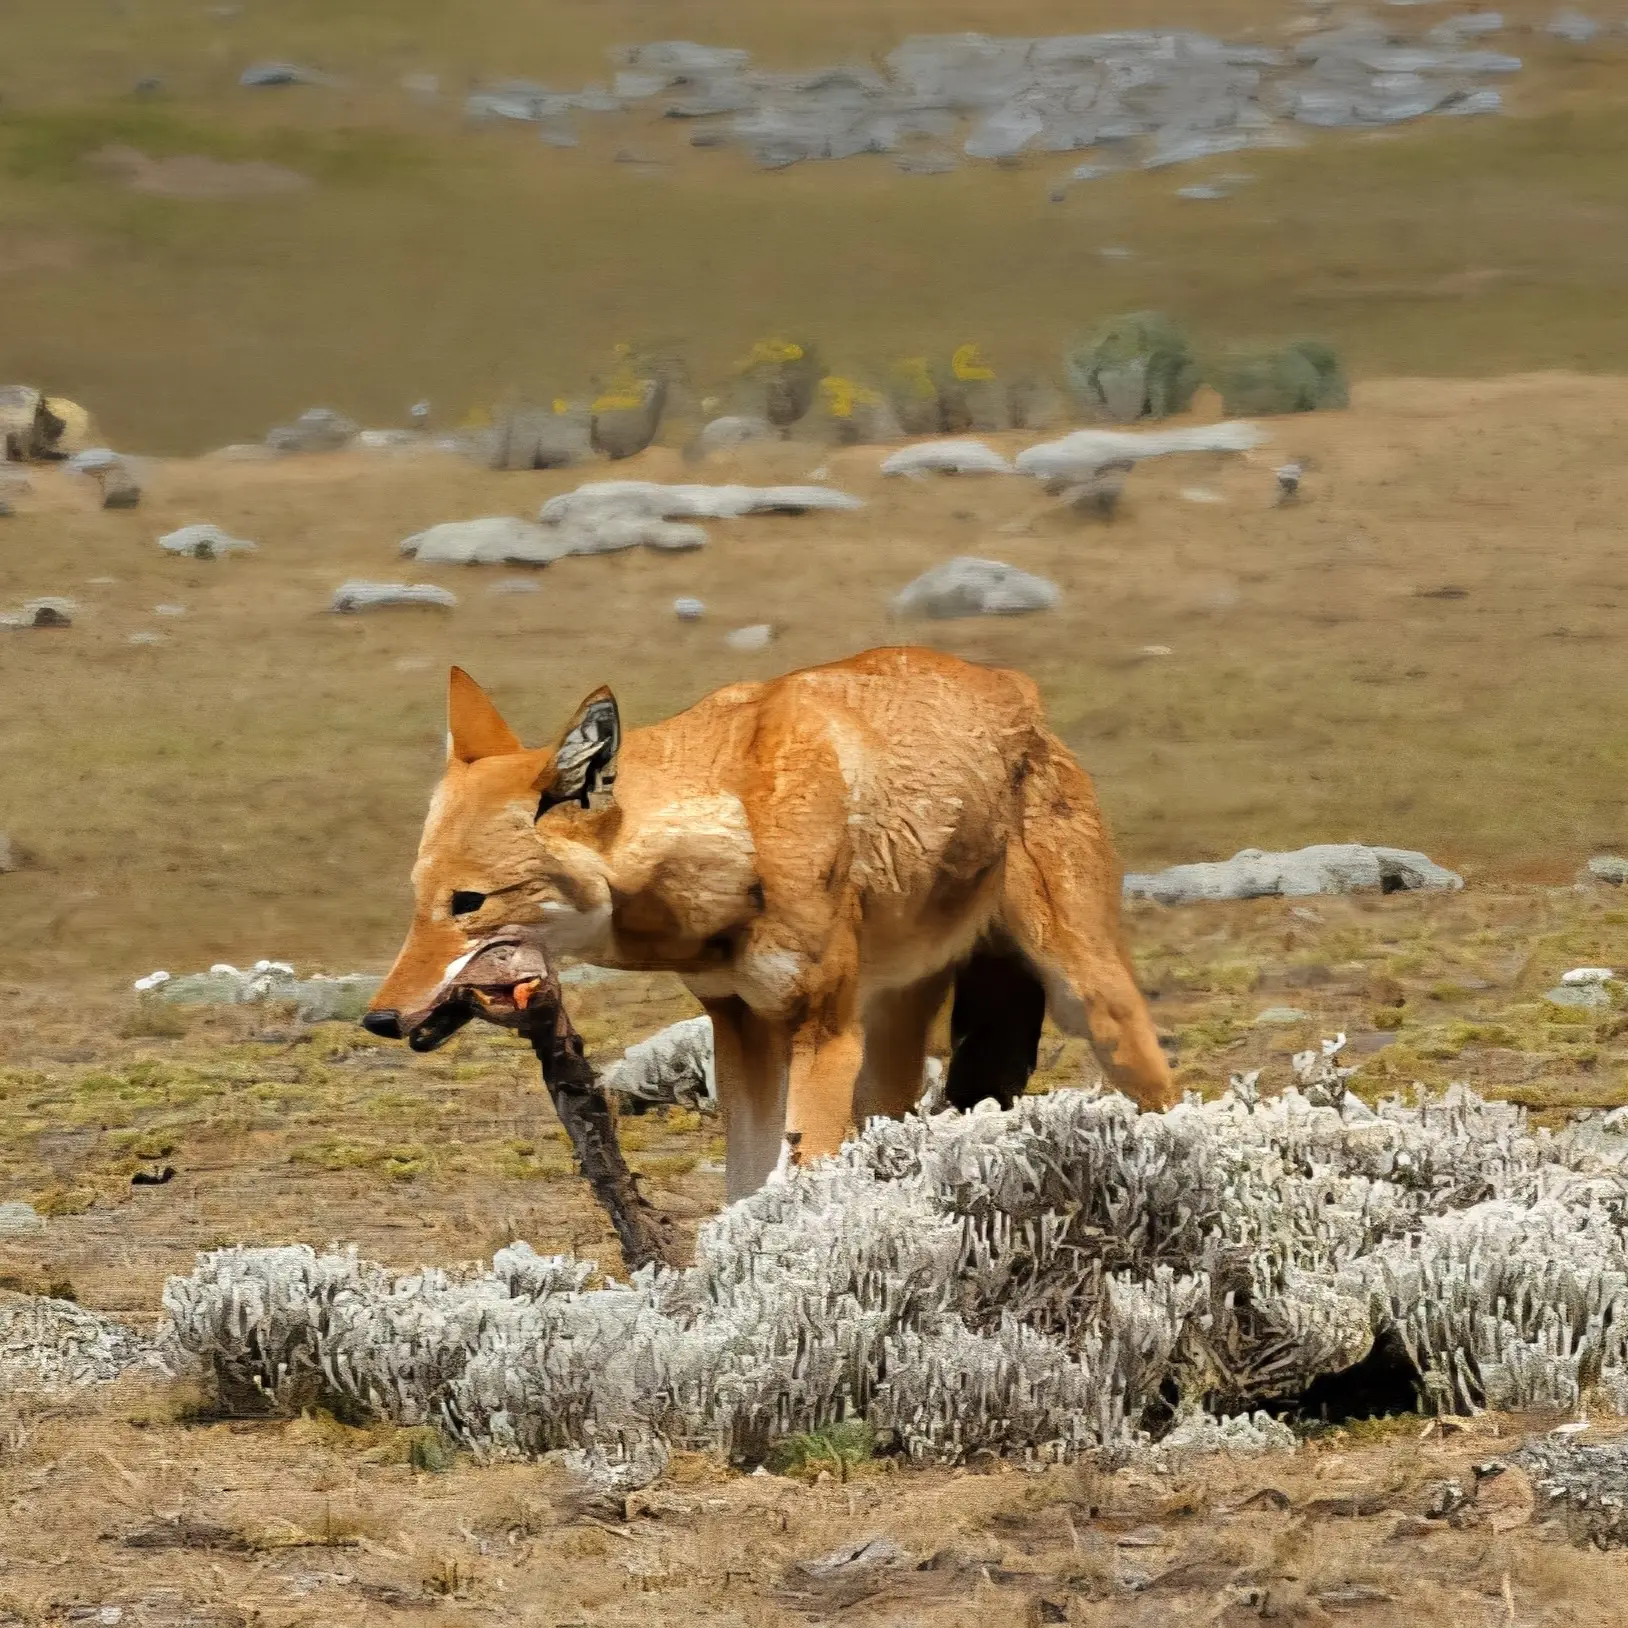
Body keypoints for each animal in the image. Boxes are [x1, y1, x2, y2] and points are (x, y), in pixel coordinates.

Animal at [364, 646, 1176, 1198]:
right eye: (417, 899)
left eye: (468, 903)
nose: (378, 1018)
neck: (742, 829)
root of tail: (1018, 689)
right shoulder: (740, 1030)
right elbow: (745, 1194)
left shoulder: (823, 1034)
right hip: (892, 1038)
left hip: (1088, 1006)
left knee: (1168, 1102)